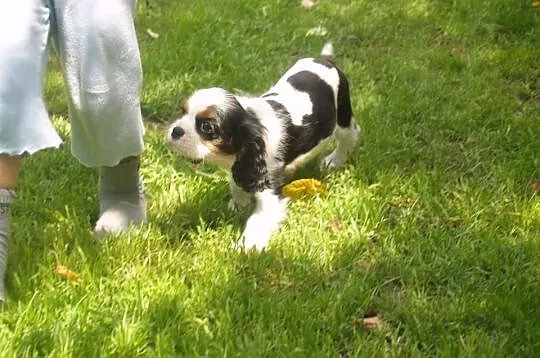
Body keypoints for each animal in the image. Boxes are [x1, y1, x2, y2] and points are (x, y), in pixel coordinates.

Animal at [167, 44, 360, 252]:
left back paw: (334, 160)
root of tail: (324, 60)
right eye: (182, 111)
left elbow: (258, 220)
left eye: (207, 127)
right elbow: (236, 184)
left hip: (342, 115)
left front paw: (247, 246)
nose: (176, 130)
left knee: (350, 135)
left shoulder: (267, 185)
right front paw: (238, 205)